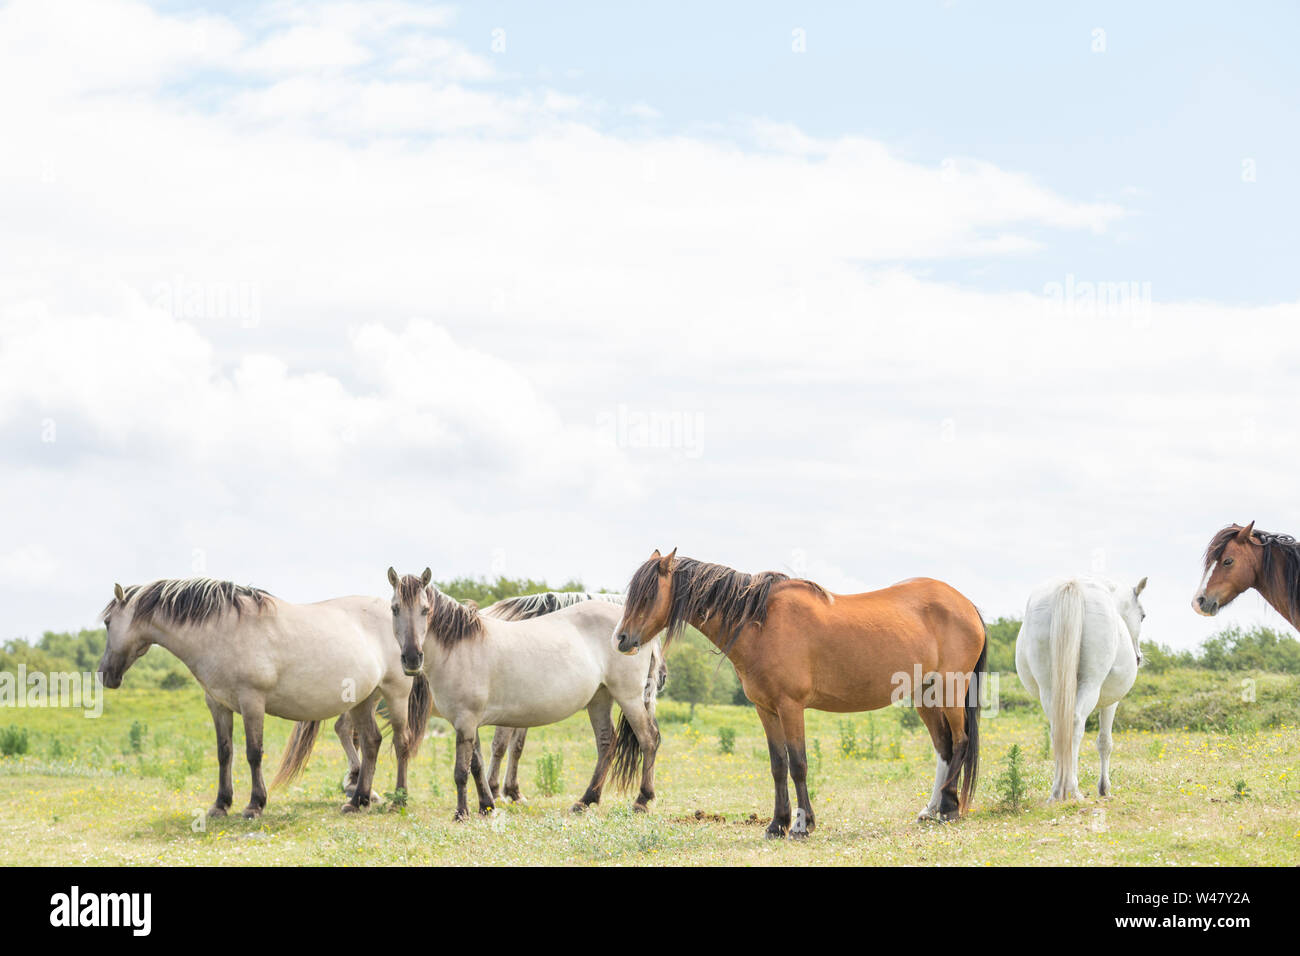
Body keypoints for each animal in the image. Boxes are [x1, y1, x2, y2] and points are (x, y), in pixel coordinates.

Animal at [97, 580, 431, 816]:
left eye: (107, 622)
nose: (104, 674)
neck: (222, 630)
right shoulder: (218, 705)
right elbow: (225, 753)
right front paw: (220, 804)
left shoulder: (252, 703)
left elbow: (253, 753)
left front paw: (254, 804)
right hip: (364, 700)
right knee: (372, 742)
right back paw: (358, 800)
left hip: (395, 696)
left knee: (401, 743)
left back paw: (398, 800)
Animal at [387, 567, 660, 822]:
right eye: (394, 609)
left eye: (425, 610)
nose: (412, 658)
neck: (461, 647)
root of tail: (633, 630)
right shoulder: (468, 723)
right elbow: (477, 765)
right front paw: (486, 806)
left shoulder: (465, 721)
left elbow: (461, 771)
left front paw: (462, 813)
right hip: (600, 698)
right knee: (606, 743)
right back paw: (585, 801)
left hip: (628, 696)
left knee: (648, 738)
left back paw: (642, 800)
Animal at [608, 554, 982, 837]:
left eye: (647, 595)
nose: (621, 639)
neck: (761, 623)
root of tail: (967, 605)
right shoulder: (766, 710)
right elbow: (778, 765)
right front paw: (777, 824)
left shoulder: (791, 708)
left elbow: (799, 764)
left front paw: (803, 825)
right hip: (925, 696)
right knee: (944, 747)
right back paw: (931, 810)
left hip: (949, 689)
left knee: (960, 742)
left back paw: (950, 807)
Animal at [1013, 574, 1149, 801]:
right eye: (1143, 616)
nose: (1138, 658)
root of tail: (1072, 586)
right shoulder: (1111, 702)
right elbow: (1105, 742)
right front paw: (1104, 788)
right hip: (1091, 686)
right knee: (1075, 724)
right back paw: (1071, 788)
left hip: (1048, 689)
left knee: (1059, 727)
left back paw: (1057, 790)